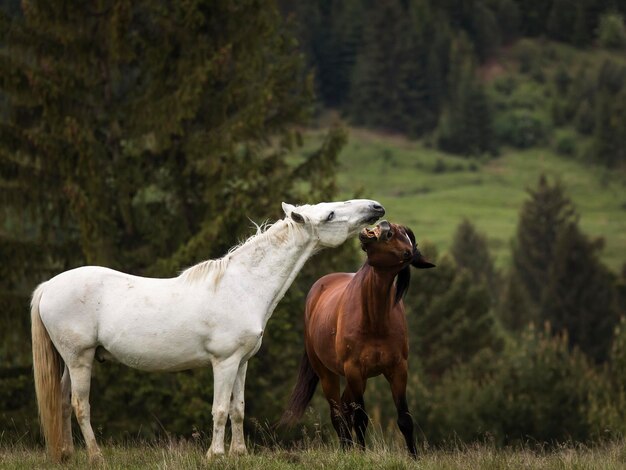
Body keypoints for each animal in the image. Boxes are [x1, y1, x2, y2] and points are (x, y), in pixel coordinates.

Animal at [31, 200, 382, 460]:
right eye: (330, 215)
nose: (375, 208)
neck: (242, 286)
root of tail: (48, 287)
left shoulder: (241, 363)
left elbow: (238, 409)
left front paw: (239, 453)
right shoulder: (224, 362)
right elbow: (220, 409)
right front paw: (216, 454)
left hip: (70, 361)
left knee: (62, 401)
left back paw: (67, 454)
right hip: (80, 359)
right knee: (80, 406)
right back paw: (95, 456)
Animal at [280, 220, 432, 456]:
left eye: (407, 253)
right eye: (395, 230)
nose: (386, 227)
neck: (375, 319)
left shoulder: (398, 370)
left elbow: (404, 419)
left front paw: (414, 457)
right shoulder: (354, 370)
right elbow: (360, 418)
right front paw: (362, 454)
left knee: (343, 408)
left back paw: (348, 447)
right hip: (328, 374)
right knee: (337, 414)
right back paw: (346, 449)